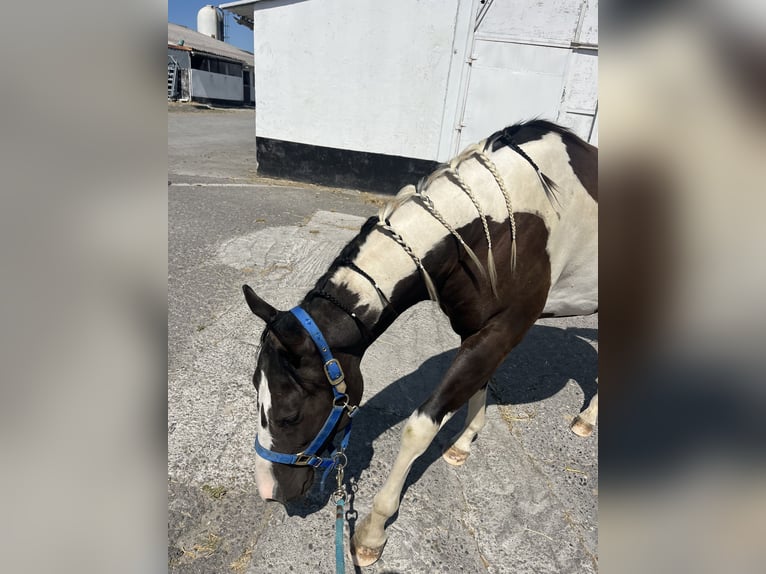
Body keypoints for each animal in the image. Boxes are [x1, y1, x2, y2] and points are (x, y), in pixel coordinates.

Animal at [242, 119, 598, 567]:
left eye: (289, 415)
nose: (269, 491)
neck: (501, 223)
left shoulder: (504, 328)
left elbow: (420, 427)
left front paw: (372, 533)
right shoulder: (478, 330)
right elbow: (477, 387)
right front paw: (463, 444)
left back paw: (588, 420)